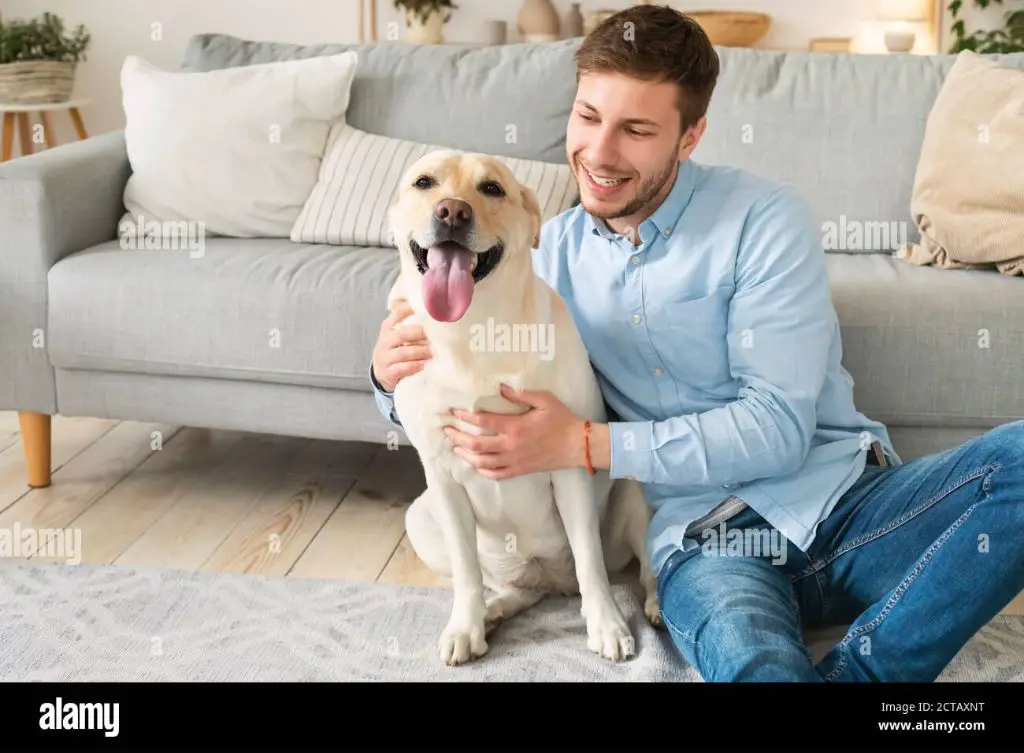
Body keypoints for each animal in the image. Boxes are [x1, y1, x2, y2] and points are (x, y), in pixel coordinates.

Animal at [382, 148, 655, 663]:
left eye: (491, 188)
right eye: (424, 182)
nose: (452, 211)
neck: (472, 329)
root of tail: (551, 582)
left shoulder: (568, 463)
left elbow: (590, 560)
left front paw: (607, 625)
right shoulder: (442, 474)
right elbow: (467, 572)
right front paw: (466, 625)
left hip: (633, 490)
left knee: (643, 564)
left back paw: (650, 605)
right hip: (420, 518)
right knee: (507, 587)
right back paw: (492, 611)